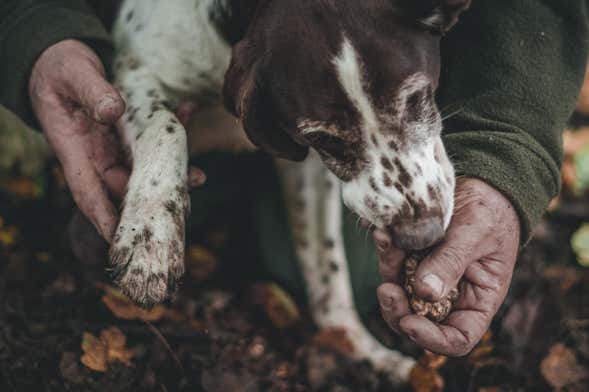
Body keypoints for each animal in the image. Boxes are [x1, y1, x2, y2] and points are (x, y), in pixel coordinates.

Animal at [109, 0, 468, 384]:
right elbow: (166, 126)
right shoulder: (135, 72)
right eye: (324, 138)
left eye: (416, 98)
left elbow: (326, 265)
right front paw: (150, 238)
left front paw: (357, 347)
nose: (421, 235)